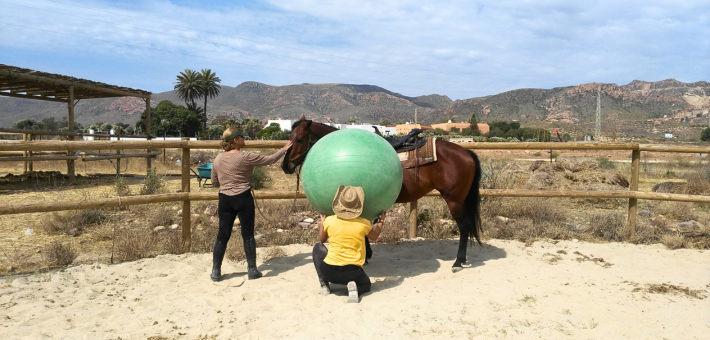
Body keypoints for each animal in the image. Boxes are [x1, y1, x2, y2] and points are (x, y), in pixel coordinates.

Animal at [284, 115, 484, 272]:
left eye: (299, 139)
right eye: (290, 137)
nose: (285, 166)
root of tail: (466, 152)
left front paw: (365, 255)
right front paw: (366, 254)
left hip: (454, 199)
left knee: (464, 226)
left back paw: (458, 262)